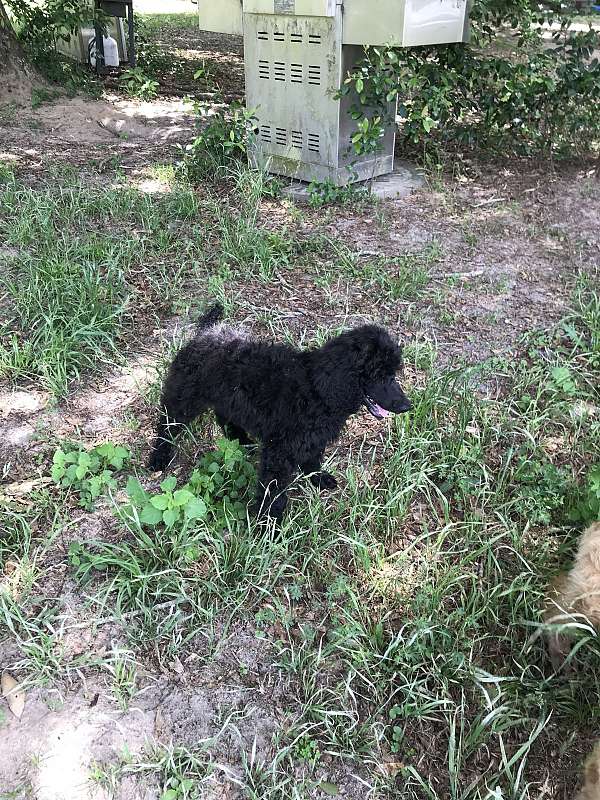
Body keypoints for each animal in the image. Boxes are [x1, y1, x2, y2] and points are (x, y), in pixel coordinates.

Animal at [149, 304, 412, 520]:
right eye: (379, 375)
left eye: (393, 373)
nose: (406, 406)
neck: (316, 388)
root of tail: (206, 332)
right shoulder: (280, 451)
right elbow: (273, 489)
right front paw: (269, 525)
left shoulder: (314, 439)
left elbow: (312, 458)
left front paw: (318, 478)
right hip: (184, 397)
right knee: (168, 424)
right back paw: (158, 459)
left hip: (228, 399)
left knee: (225, 419)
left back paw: (243, 442)